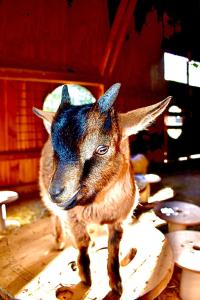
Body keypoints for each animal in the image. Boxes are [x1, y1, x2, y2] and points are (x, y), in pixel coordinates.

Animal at [32, 82, 170, 300]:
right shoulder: (73, 218)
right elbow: (82, 244)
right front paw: (85, 279)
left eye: (102, 148)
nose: (56, 192)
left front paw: (116, 286)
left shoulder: (119, 221)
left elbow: (113, 250)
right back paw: (59, 240)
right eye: (55, 147)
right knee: (55, 216)